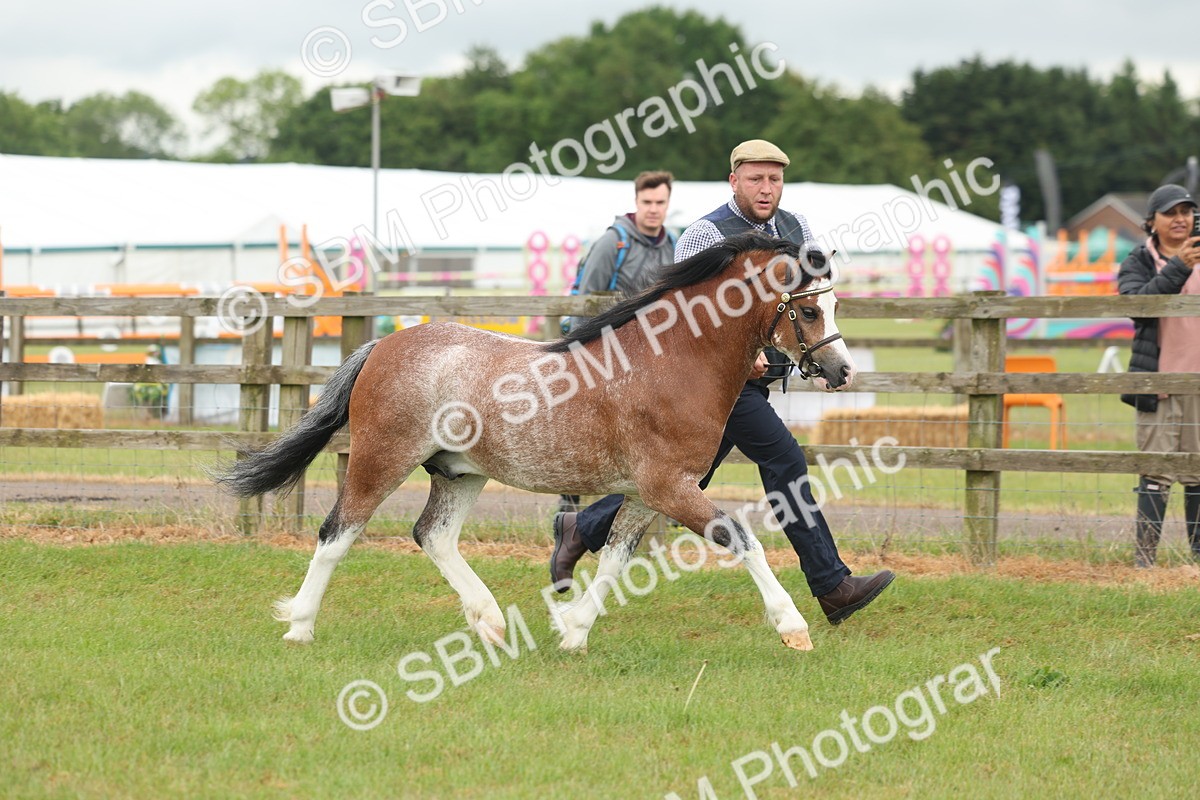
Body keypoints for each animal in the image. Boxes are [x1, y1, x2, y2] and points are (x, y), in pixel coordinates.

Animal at [214, 231, 856, 653]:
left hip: (459, 472)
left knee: (432, 536)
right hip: (381, 459)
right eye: (808, 309)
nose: (842, 370)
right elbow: (742, 539)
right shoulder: (669, 488)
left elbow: (614, 561)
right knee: (337, 533)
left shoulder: (646, 494)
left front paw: (572, 630)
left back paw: (491, 621)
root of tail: (384, 346)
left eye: (832, 302)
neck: (672, 360)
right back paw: (300, 625)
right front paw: (793, 627)